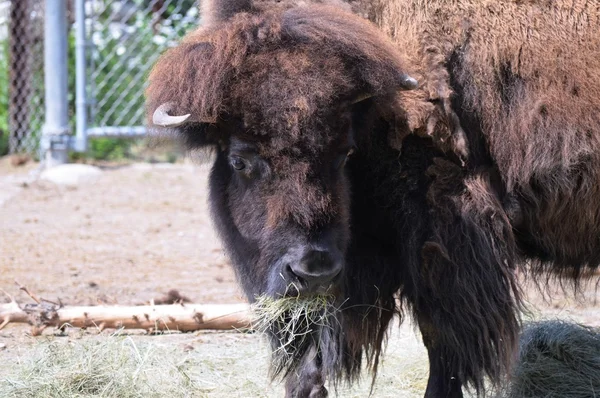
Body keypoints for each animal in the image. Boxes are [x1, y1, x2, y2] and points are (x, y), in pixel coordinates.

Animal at [145, 0, 600, 396]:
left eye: (345, 151)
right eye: (240, 160)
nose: (312, 269)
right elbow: (311, 358)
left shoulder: (444, 242)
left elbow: (441, 341)